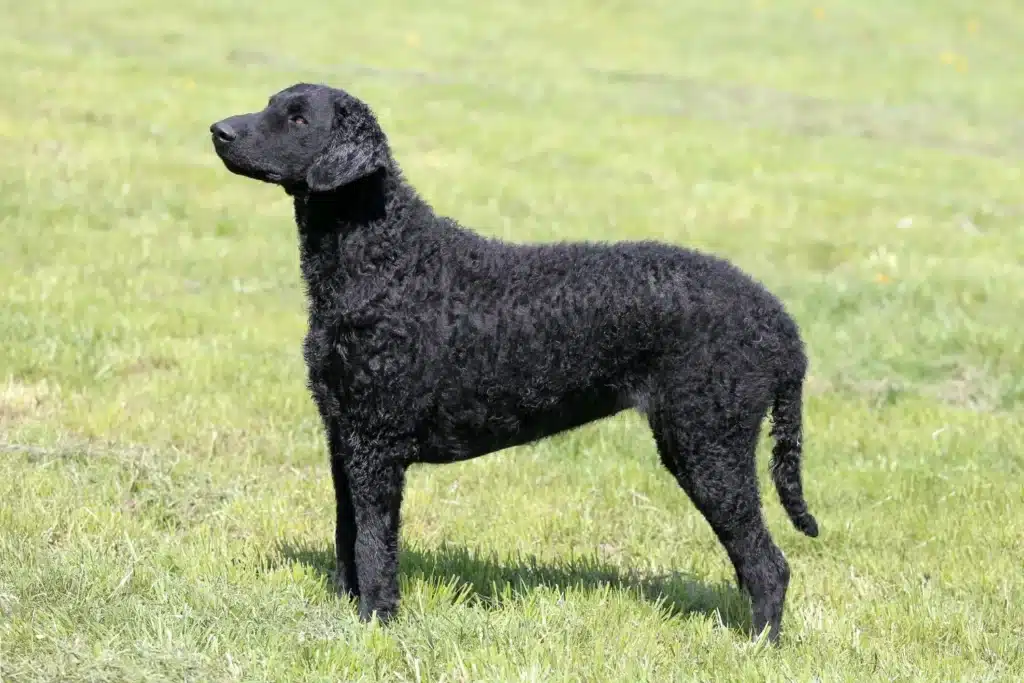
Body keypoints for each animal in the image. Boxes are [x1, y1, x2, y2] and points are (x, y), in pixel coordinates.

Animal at [211, 82, 819, 643]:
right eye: (271, 104)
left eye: (296, 118)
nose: (218, 130)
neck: (390, 259)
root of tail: (780, 321)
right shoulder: (343, 435)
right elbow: (347, 535)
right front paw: (345, 609)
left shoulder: (376, 444)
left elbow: (374, 544)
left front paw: (377, 622)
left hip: (708, 443)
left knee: (768, 565)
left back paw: (759, 646)